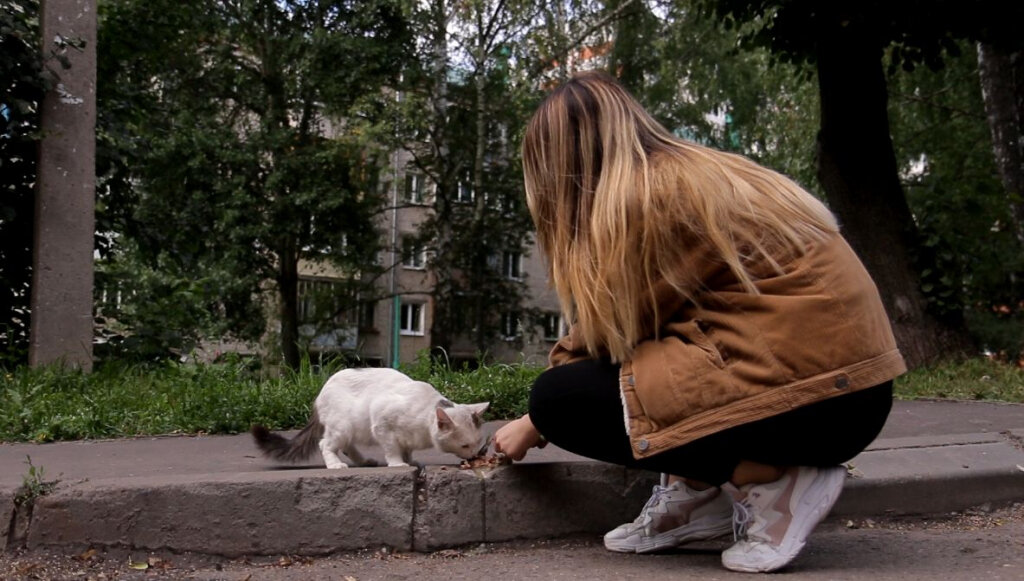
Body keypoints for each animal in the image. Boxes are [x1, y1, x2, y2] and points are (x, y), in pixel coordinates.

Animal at [249, 368, 485, 469]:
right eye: (465, 445)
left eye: (477, 443)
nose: (474, 456)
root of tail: (319, 394)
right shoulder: (381, 421)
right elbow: (392, 448)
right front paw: (398, 463)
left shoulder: (406, 437)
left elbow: (407, 448)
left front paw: (410, 460)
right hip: (343, 425)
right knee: (326, 444)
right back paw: (335, 465)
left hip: (349, 430)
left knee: (347, 446)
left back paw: (363, 461)